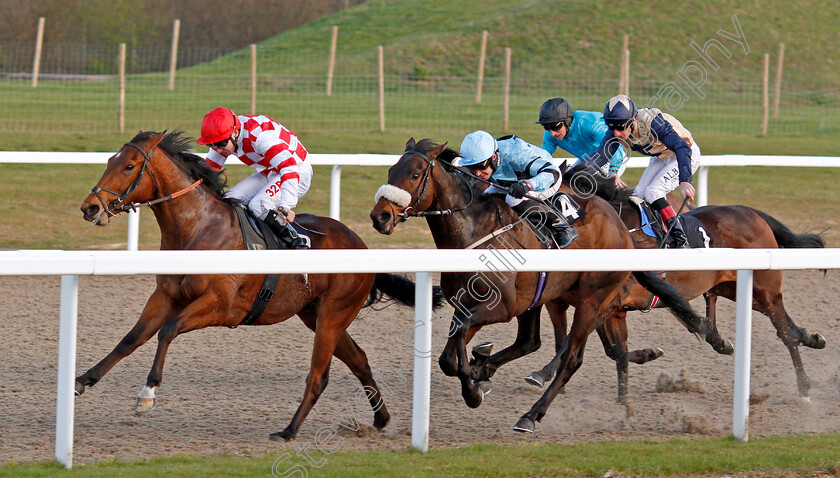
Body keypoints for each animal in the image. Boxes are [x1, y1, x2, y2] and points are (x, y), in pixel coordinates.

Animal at [77, 131, 440, 440]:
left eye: (128, 166)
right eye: (109, 160)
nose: (90, 207)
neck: (198, 230)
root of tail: (361, 244)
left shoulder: (219, 305)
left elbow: (167, 331)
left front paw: (148, 393)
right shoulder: (165, 296)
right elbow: (130, 339)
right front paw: (83, 380)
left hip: (334, 314)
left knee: (318, 375)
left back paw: (289, 431)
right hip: (315, 314)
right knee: (359, 359)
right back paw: (380, 418)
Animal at [368, 138, 704, 414]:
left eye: (414, 175)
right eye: (390, 171)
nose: (379, 216)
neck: (473, 231)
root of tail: (619, 224)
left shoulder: (500, 307)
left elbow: (459, 348)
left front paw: (475, 387)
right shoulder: (468, 305)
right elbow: (449, 356)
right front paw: (477, 375)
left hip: (589, 296)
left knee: (564, 352)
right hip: (540, 298)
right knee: (531, 341)